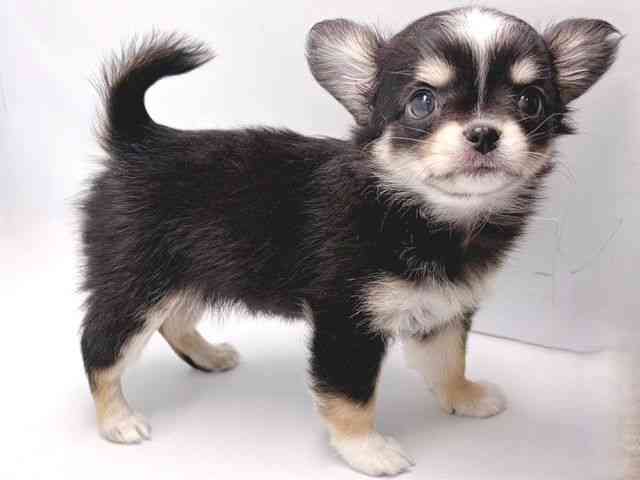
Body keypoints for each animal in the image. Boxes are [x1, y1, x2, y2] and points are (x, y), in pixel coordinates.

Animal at [80, 6, 620, 476]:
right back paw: (117, 420)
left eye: (530, 102)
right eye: (422, 101)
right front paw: (367, 450)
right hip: (138, 285)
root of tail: (142, 140)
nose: (484, 132)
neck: (427, 215)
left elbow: (449, 359)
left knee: (175, 322)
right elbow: (351, 396)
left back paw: (208, 357)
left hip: (193, 273)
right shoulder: (348, 321)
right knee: (100, 348)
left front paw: (463, 397)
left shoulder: (445, 306)